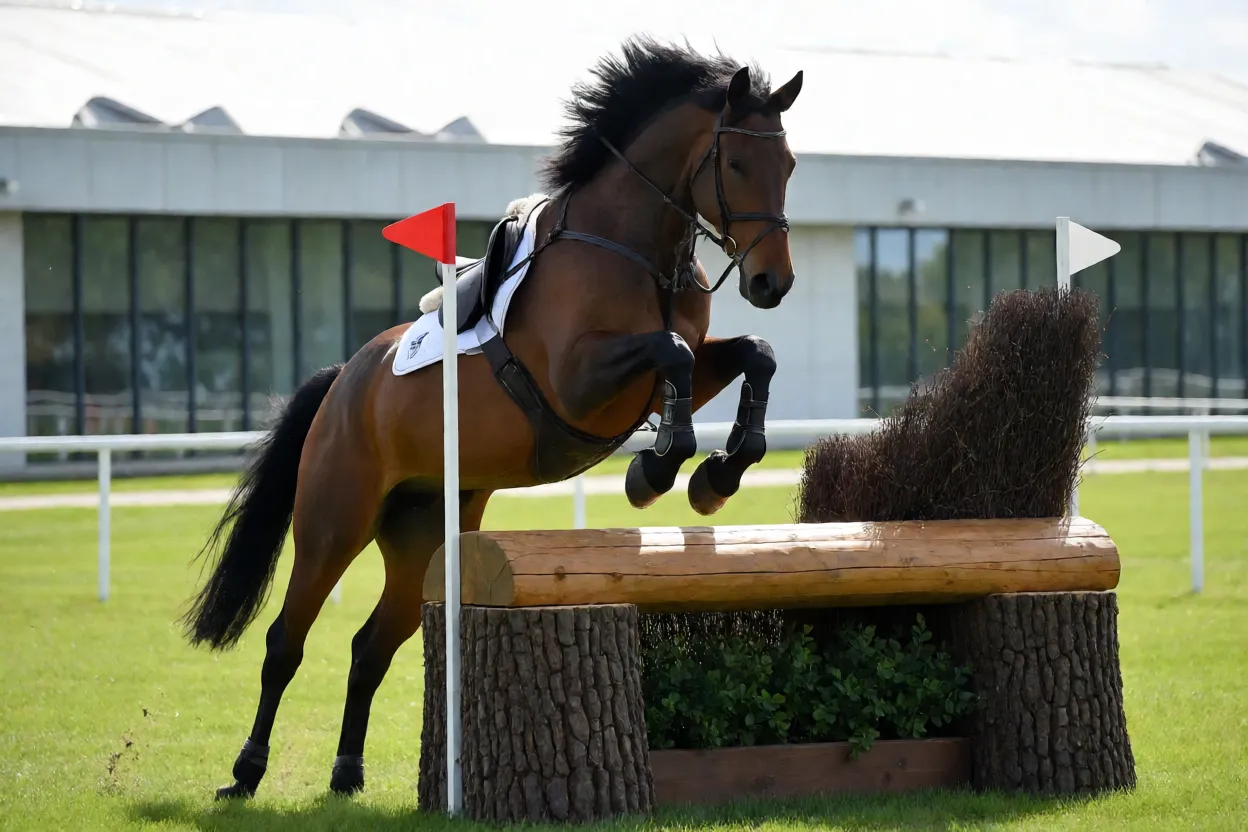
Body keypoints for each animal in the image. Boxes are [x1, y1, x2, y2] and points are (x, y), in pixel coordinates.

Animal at [182, 35, 804, 800]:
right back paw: (245, 773)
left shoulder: (671, 367)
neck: (635, 248)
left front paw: (721, 472)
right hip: (334, 522)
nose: (771, 282)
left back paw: (347, 773)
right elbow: (675, 352)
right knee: (285, 643)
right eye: (738, 164)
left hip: (422, 532)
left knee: (370, 646)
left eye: (789, 166)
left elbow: (753, 354)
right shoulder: (577, 380)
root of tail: (343, 381)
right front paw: (657, 469)